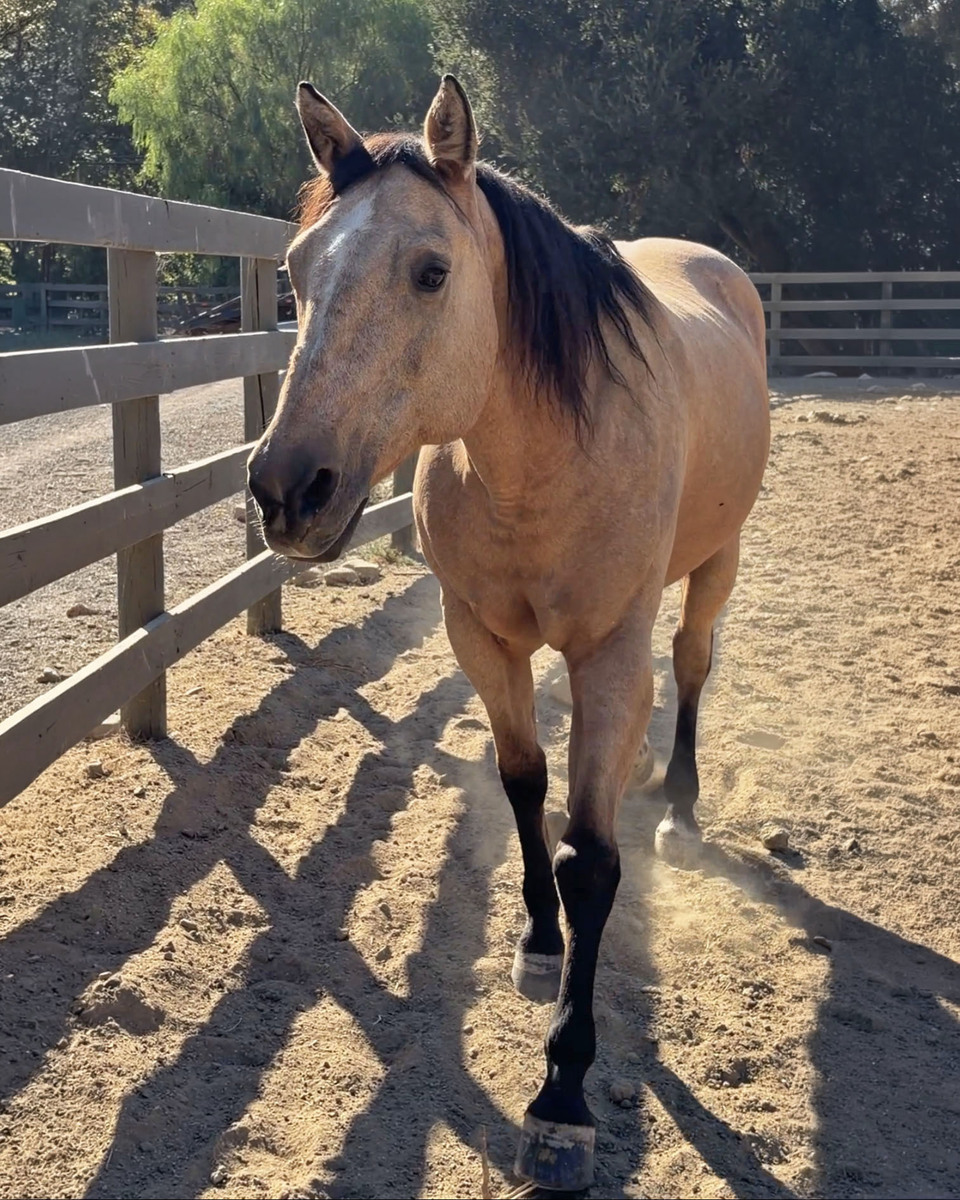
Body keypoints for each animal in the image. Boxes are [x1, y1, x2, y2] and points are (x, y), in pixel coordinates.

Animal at [247, 75, 770, 1191]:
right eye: (296, 273)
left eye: (431, 271)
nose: (285, 489)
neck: (543, 458)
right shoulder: (481, 638)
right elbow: (526, 785)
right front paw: (538, 938)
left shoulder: (610, 652)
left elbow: (593, 861)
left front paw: (563, 1093)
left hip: (718, 563)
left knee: (690, 668)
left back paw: (681, 804)